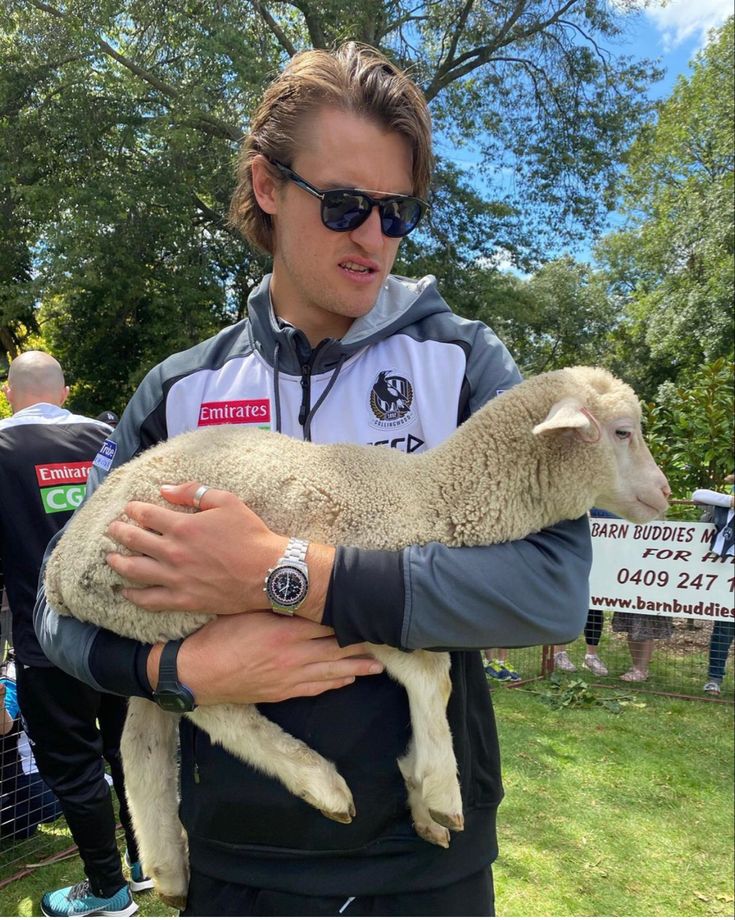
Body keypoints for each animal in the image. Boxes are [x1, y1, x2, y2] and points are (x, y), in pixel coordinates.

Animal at [43, 362, 668, 904]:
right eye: (622, 432)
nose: (663, 493)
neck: (430, 497)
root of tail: (58, 572)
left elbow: (432, 678)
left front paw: (423, 800)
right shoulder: (357, 608)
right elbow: (433, 676)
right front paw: (438, 791)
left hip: (145, 625)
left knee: (145, 729)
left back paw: (169, 867)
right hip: (170, 602)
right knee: (214, 709)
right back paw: (320, 782)